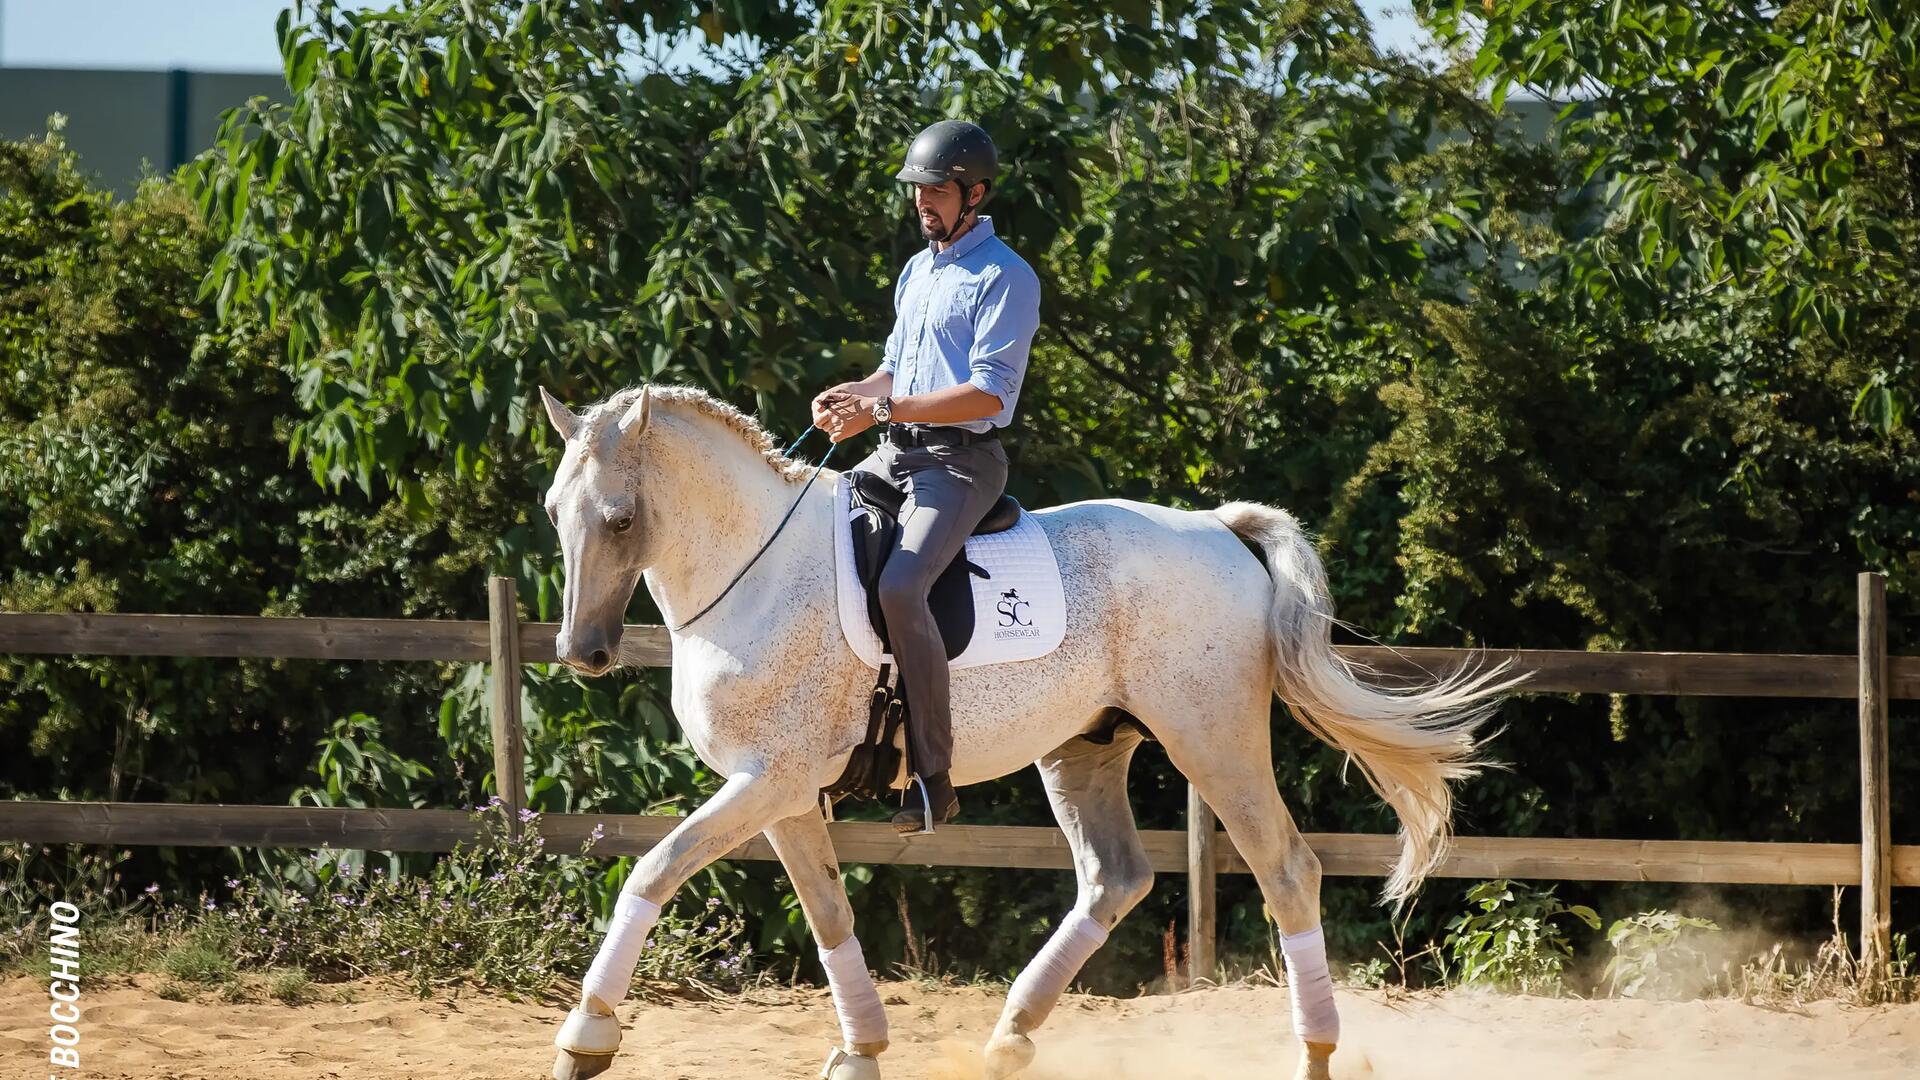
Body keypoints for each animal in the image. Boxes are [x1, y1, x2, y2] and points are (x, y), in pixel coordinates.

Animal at [537, 384, 1512, 1076]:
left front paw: (587, 1036)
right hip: (1085, 748)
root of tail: (1214, 527)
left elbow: (654, 870)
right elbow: (828, 911)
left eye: (620, 518)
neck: (755, 570)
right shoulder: (779, 790)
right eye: (554, 512)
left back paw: (1313, 1053)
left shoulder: (767, 780)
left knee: (1285, 869)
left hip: (1211, 738)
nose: (582, 653)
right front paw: (862, 1050)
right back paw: (1010, 1037)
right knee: (1115, 878)